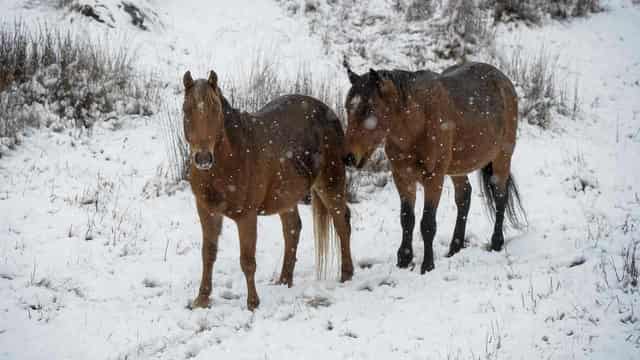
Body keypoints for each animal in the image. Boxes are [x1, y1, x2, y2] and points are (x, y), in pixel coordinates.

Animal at [184, 69, 356, 310]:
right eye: (186, 110)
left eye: (215, 110)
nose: (202, 158)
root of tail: (328, 111)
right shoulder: (207, 211)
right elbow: (208, 254)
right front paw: (202, 299)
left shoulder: (246, 216)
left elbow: (247, 260)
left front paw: (252, 303)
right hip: (287, 196)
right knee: (293, 229)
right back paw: (284, 281)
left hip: (330, 183)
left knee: (342, 223)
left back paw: (346, 274)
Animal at [342, 62, 528, 274]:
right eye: (348, 108)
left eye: (369, 109)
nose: (348, 157)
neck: (418, 122)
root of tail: (503, 79)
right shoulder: (402, 177)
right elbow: (407, 219)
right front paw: (403, 260)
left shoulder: (434, 178)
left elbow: (427, 224)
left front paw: (427, 265)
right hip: (458, 168)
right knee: (464, 197)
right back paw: (454, 248)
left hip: (502, 158)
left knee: (500, 196)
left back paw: (496, 243)